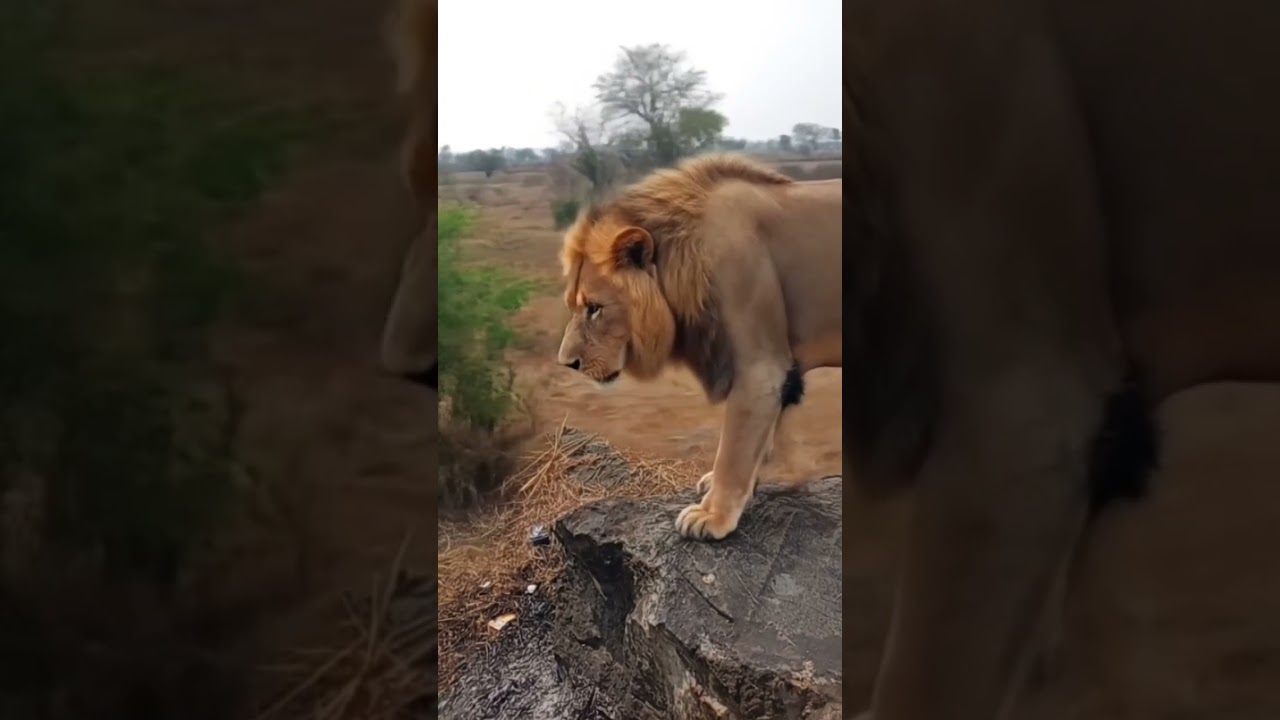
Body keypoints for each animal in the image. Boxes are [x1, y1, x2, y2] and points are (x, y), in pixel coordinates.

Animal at [556, 154, 842, 540]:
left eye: (594, 308)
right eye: (576, 305)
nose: (567, 363)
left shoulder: (759, 368)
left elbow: (734, 449)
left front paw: (712, 515)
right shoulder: (779, 372)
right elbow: (764, 438)